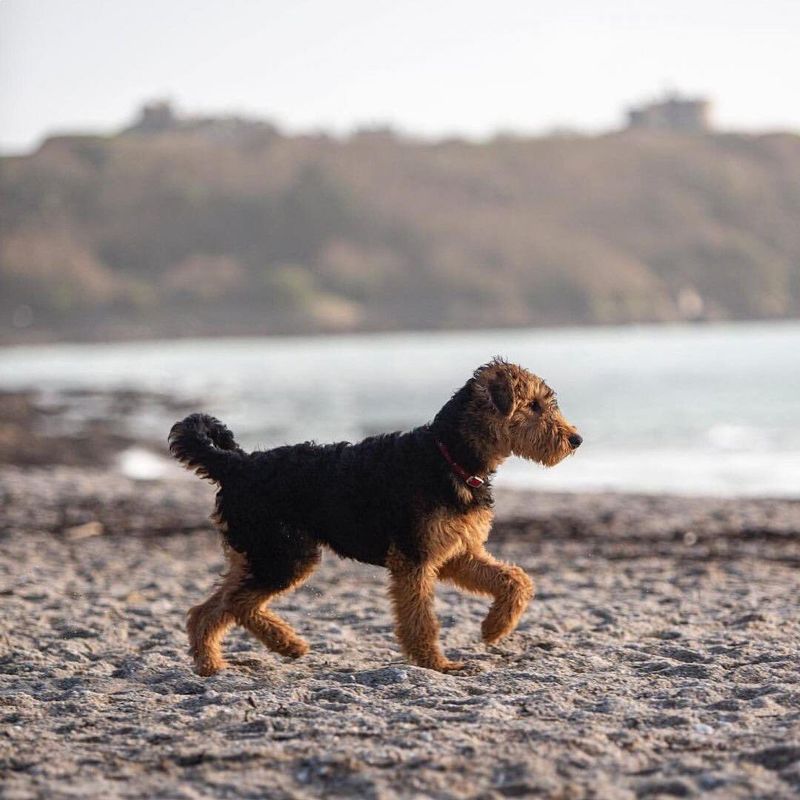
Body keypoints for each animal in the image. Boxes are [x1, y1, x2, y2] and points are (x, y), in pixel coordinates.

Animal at [169, 360, 580, 672]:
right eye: (534, 405)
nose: (575, 440)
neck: (450, 456)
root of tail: (237, 464)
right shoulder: (415, 558)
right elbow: (421, 620)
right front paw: (436, 664)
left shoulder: (457, 553)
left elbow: (515, 580)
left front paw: (493, 629)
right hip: (285, 555)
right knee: (237, 604)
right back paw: (287, 643)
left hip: (255, 554)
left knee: (207, 609)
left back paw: (211, 665)